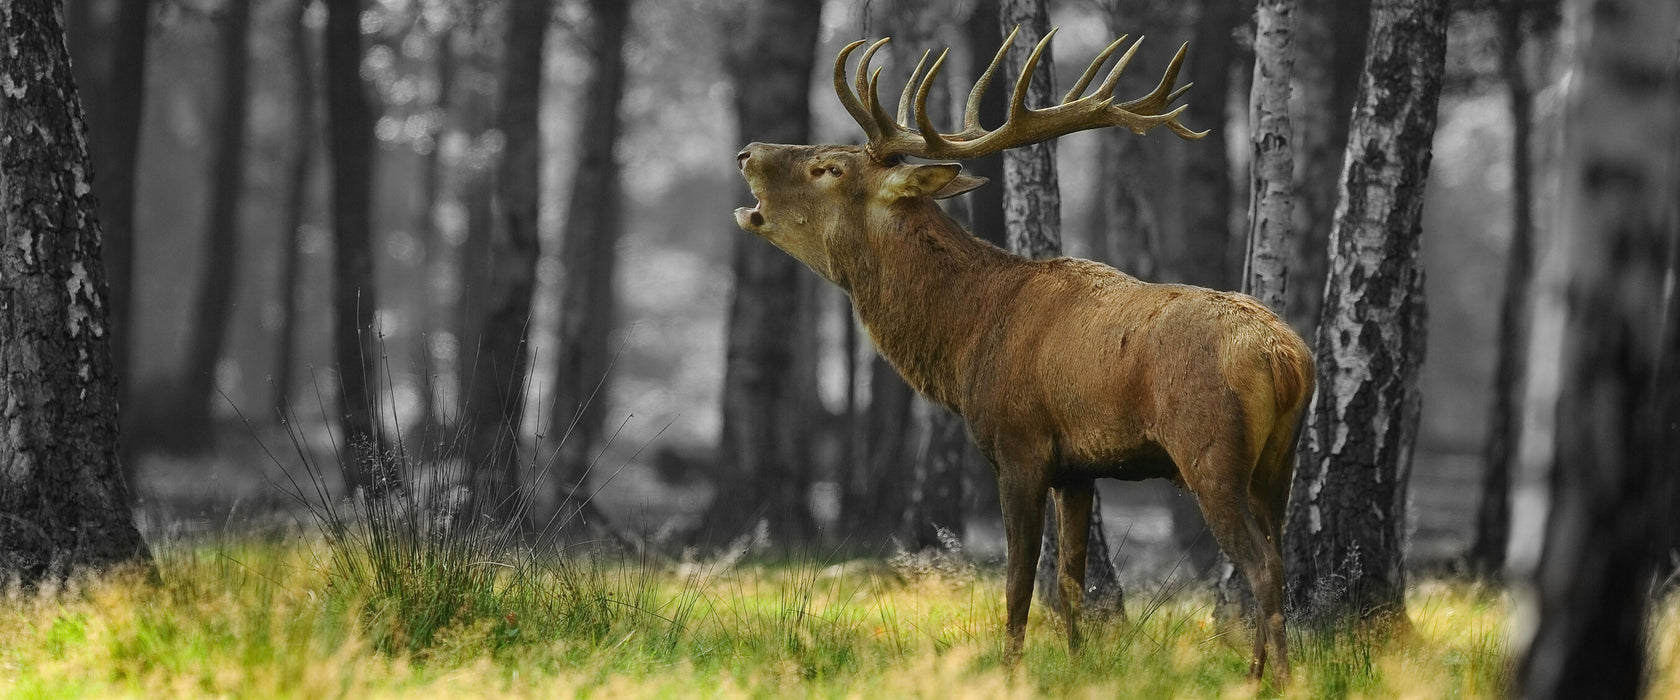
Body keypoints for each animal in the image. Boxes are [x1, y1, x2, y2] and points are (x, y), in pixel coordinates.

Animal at [732, 30, 1310, 678]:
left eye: (827, 167)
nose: (747, 151)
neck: (967, 340)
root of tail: (1288, 361)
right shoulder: (1080, 468)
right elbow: (1071, 582)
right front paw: (1079, 666)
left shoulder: (1019, 445)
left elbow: (1018, 583)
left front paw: (1010, 670)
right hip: (1278, 462)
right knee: (1278, 555)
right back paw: (1259, 671)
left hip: (1210, 451)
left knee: (1261, 564)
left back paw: (1274, 678)